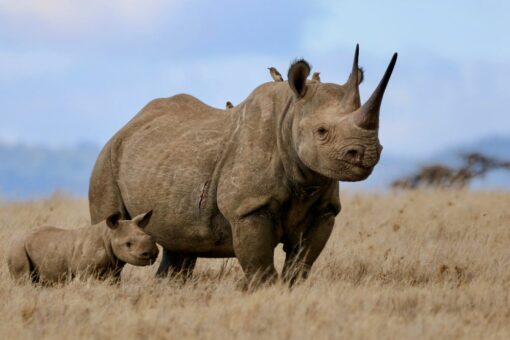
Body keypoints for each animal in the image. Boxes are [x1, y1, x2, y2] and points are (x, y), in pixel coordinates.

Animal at [5, 211, 157, 282]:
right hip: (17, 248)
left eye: (151, 237)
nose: (151, 254)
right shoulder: (85, 272)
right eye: (128, 244)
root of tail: (14, 240)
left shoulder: (113, 272)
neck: (108, 235)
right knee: (24, 278)